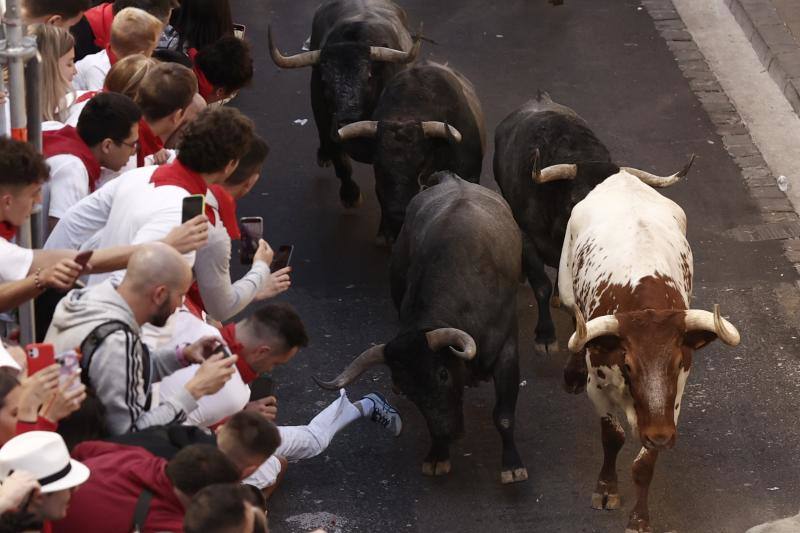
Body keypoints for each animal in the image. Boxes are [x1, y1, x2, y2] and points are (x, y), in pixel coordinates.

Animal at [268, 0, 422, 208]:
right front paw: (350, 195)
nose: (345, 122)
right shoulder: (324, 118)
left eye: (369, 76)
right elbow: (341, 163)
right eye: (325, 80)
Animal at [314, 172, 532, 484]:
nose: (448, 435)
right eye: (407, 389)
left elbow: (503, 415)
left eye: (442, 374)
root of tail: (450, 179)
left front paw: (512, 465)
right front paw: (437, 456)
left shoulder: (506, 350)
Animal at [556, 170, 736, 532]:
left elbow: (645, 463)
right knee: (574, 319)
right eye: (627, 365)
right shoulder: (598, 389)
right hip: (565, 286)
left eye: (678, 362)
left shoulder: (672, 403)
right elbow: (612, 438)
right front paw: (606, 489)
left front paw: (639, 518)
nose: (662, 436)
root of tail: (622, 175)